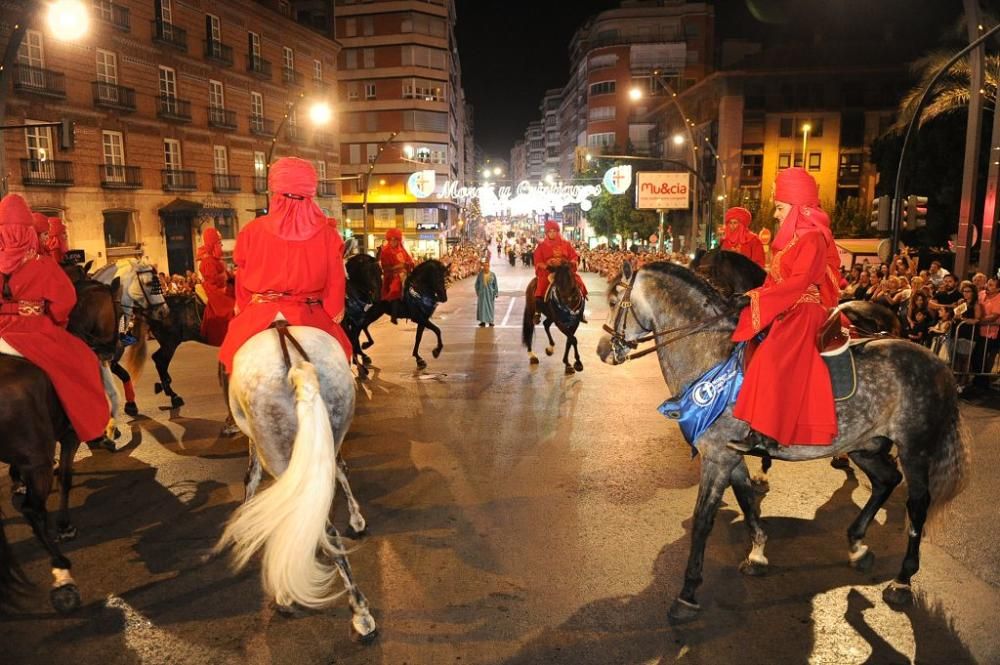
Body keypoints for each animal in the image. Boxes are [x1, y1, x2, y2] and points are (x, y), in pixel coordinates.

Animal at [217, 322, 376, 640]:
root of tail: (296, 367)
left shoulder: (256, 444)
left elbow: (251, 477)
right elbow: (341, 470)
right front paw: (356, 519)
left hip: (276, 447)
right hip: (334, 416)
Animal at [600, 260, 968, 624]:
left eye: (616, 298)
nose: (603, 350)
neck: (713, 354)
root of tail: (940, 365)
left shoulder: (716, 456)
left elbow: (703, 521)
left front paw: (687, 593)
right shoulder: (731, 454)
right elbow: (747, 500)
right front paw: (757, 554)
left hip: (915, 449)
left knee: (917, 505)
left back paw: (902, 580)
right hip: (864, 445)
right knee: (886, 480)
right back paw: (857, 546)